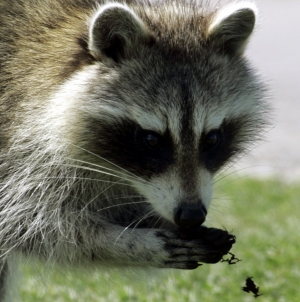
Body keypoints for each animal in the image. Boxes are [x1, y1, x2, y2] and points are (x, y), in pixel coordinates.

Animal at [0, 0, 268, 300]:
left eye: (211, 138)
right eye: (151, 139)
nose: (191, 215)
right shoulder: (15, 135)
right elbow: (28, 224)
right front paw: (131, 243)